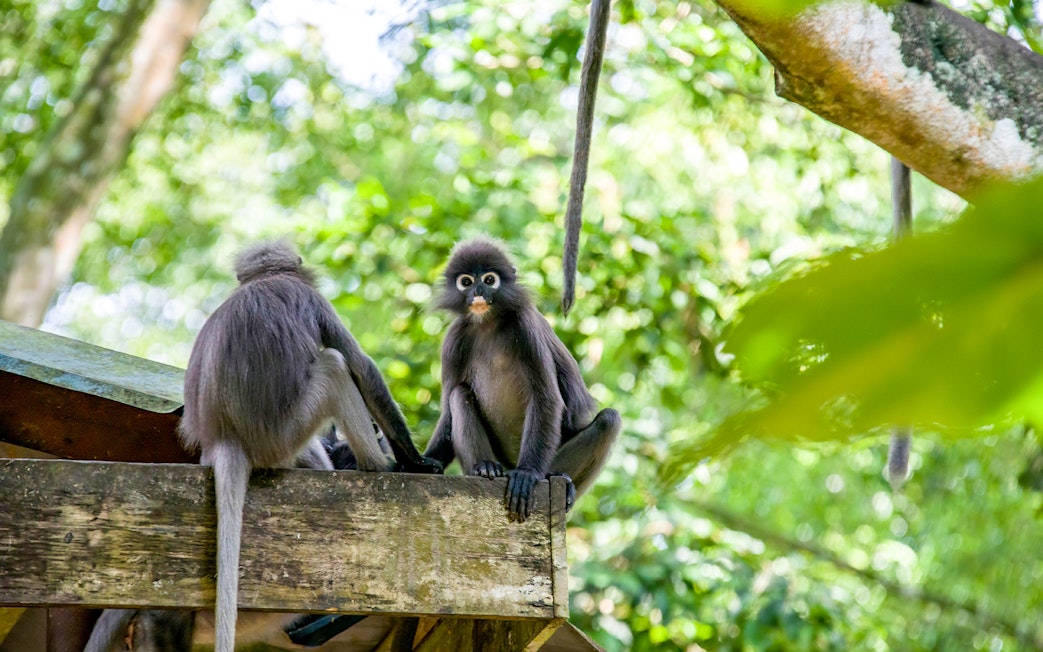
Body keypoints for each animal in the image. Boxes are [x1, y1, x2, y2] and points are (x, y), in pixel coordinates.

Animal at [424, 238, 620, 522]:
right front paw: (429, 461)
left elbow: (546, 398)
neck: (488, 324)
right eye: (466, 282)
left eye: (489, 279)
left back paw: (560, 480)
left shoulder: (525, 328)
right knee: (459, 394)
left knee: (609, 421)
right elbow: (448, 412)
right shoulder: (454, 341)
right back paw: (486, 468)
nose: (479, 293)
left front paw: (528, 473)